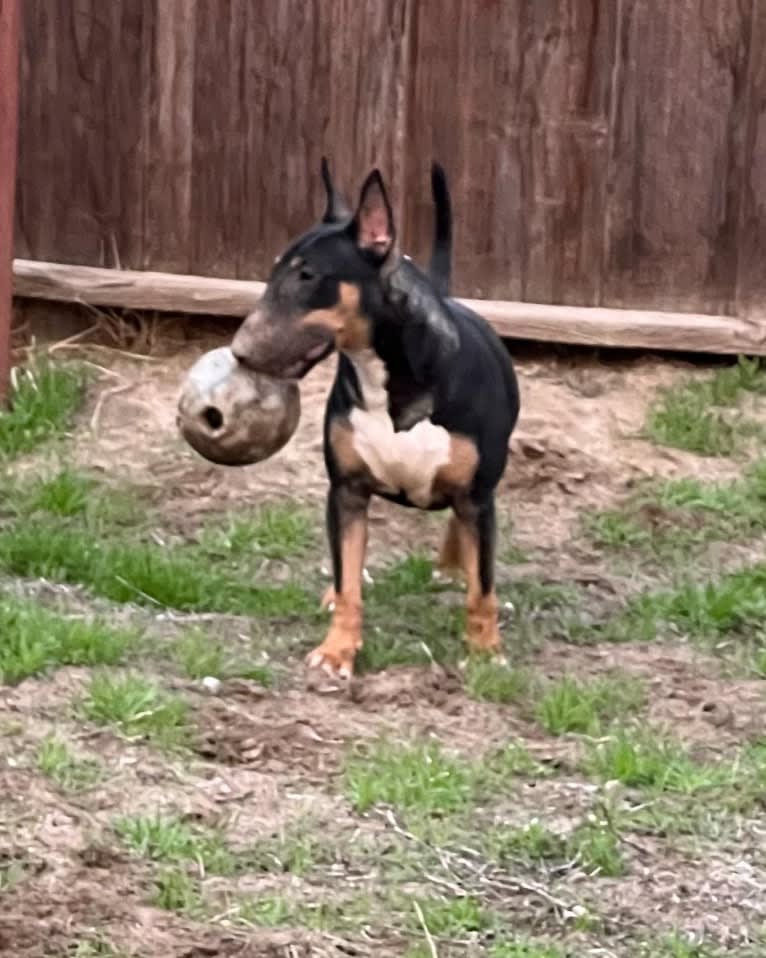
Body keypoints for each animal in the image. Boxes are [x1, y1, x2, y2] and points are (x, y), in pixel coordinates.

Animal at [232, 161, 520, 680]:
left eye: (308, 274)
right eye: (273, 270)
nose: (239, 352)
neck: (387, 377)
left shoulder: (477, 495)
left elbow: (482, 587)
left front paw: (486, 651)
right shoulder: (346, 491)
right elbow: (348, 581)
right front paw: (337, 650)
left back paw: (455, 567)